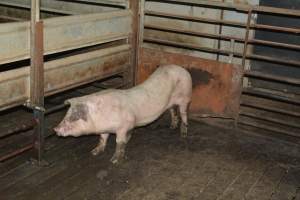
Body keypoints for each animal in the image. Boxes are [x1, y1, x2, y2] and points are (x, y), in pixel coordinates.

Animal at [53, 64, 192, 164]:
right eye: (67, 114)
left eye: (75, 116)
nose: (55, 128)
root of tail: (183, 69)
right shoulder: (104, 129)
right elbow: (102, 138)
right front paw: (94, 152)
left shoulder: (125, 125)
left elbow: (119, 142)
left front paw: (114, 161)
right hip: (171, 103)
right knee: (173, 111)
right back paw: (172, 127)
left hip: (185, 97)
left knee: (184, 114)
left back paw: (183, 135)